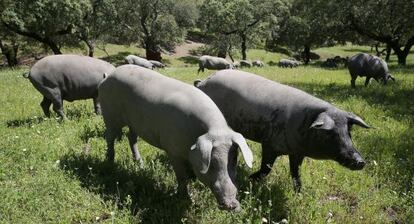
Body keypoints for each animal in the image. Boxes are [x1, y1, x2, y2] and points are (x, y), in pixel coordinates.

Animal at [98, 64, 252, 210]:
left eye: (234, 161)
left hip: (134, 123)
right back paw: (110, 162)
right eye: (212, 163)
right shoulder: (173, 151)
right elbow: (182, 177)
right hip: (109, 114)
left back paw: (140, 164)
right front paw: (185, 199)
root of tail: (108, 76)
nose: (231, 205)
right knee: (109, 137)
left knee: (132, 138)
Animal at [196, 70, 370, 192]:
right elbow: (266, 168)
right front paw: (250, 179)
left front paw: (299, 193)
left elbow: (295, 173)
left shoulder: (297, 153)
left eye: (348, 133)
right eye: (330, 133)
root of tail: (203, 82)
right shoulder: (269, 144)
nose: (360, 161)